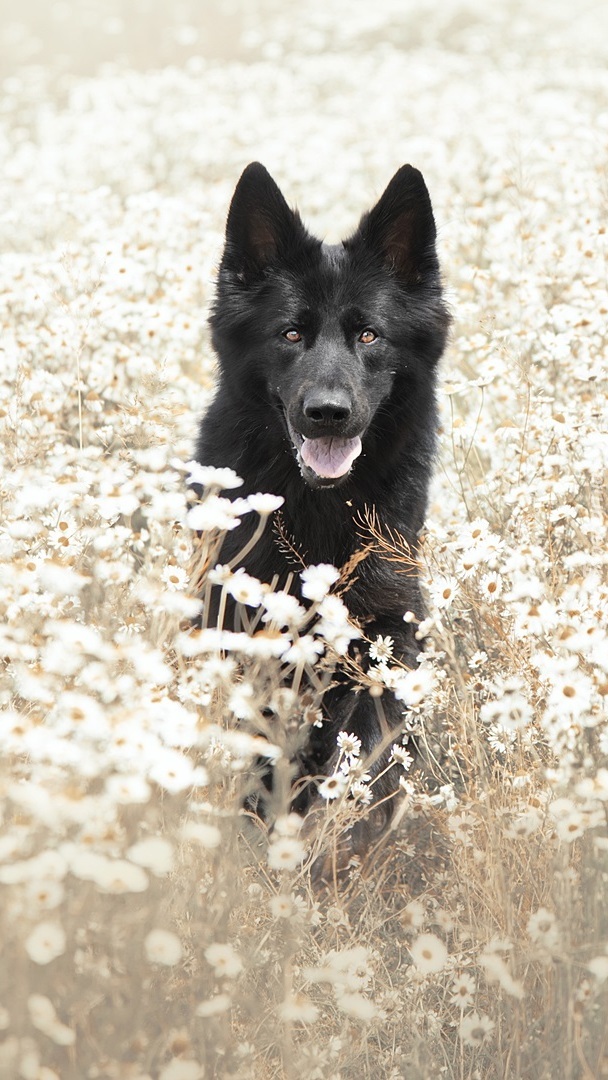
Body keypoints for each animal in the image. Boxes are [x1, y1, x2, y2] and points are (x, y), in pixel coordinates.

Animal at [197, 164, 449, 846]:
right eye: (291, 334)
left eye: (368, 334)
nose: (328, 413)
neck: (318, 512)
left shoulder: (385, 630)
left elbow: (364, 744)